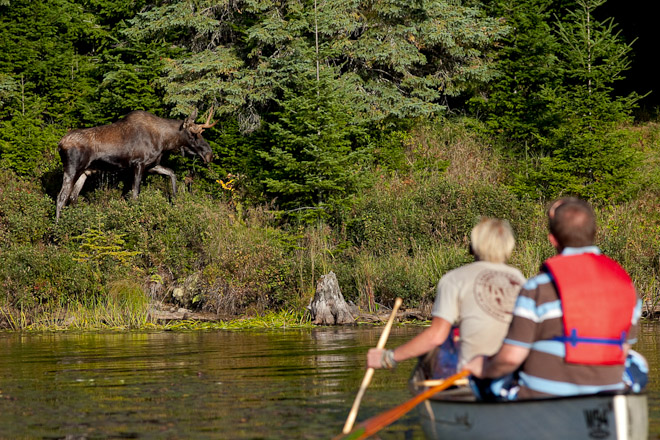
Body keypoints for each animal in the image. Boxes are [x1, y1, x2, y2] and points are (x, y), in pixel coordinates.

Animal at [56, 108, 215, 222]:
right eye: (193, 134)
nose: (209, 154)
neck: (164, 141)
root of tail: (59, 145)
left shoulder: (151, 165)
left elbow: (171, 172)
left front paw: (174, 199)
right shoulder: (139, 164)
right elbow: (135, 195)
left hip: (84, 172)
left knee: (73, 197)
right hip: (72, 169)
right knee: (61, 197)